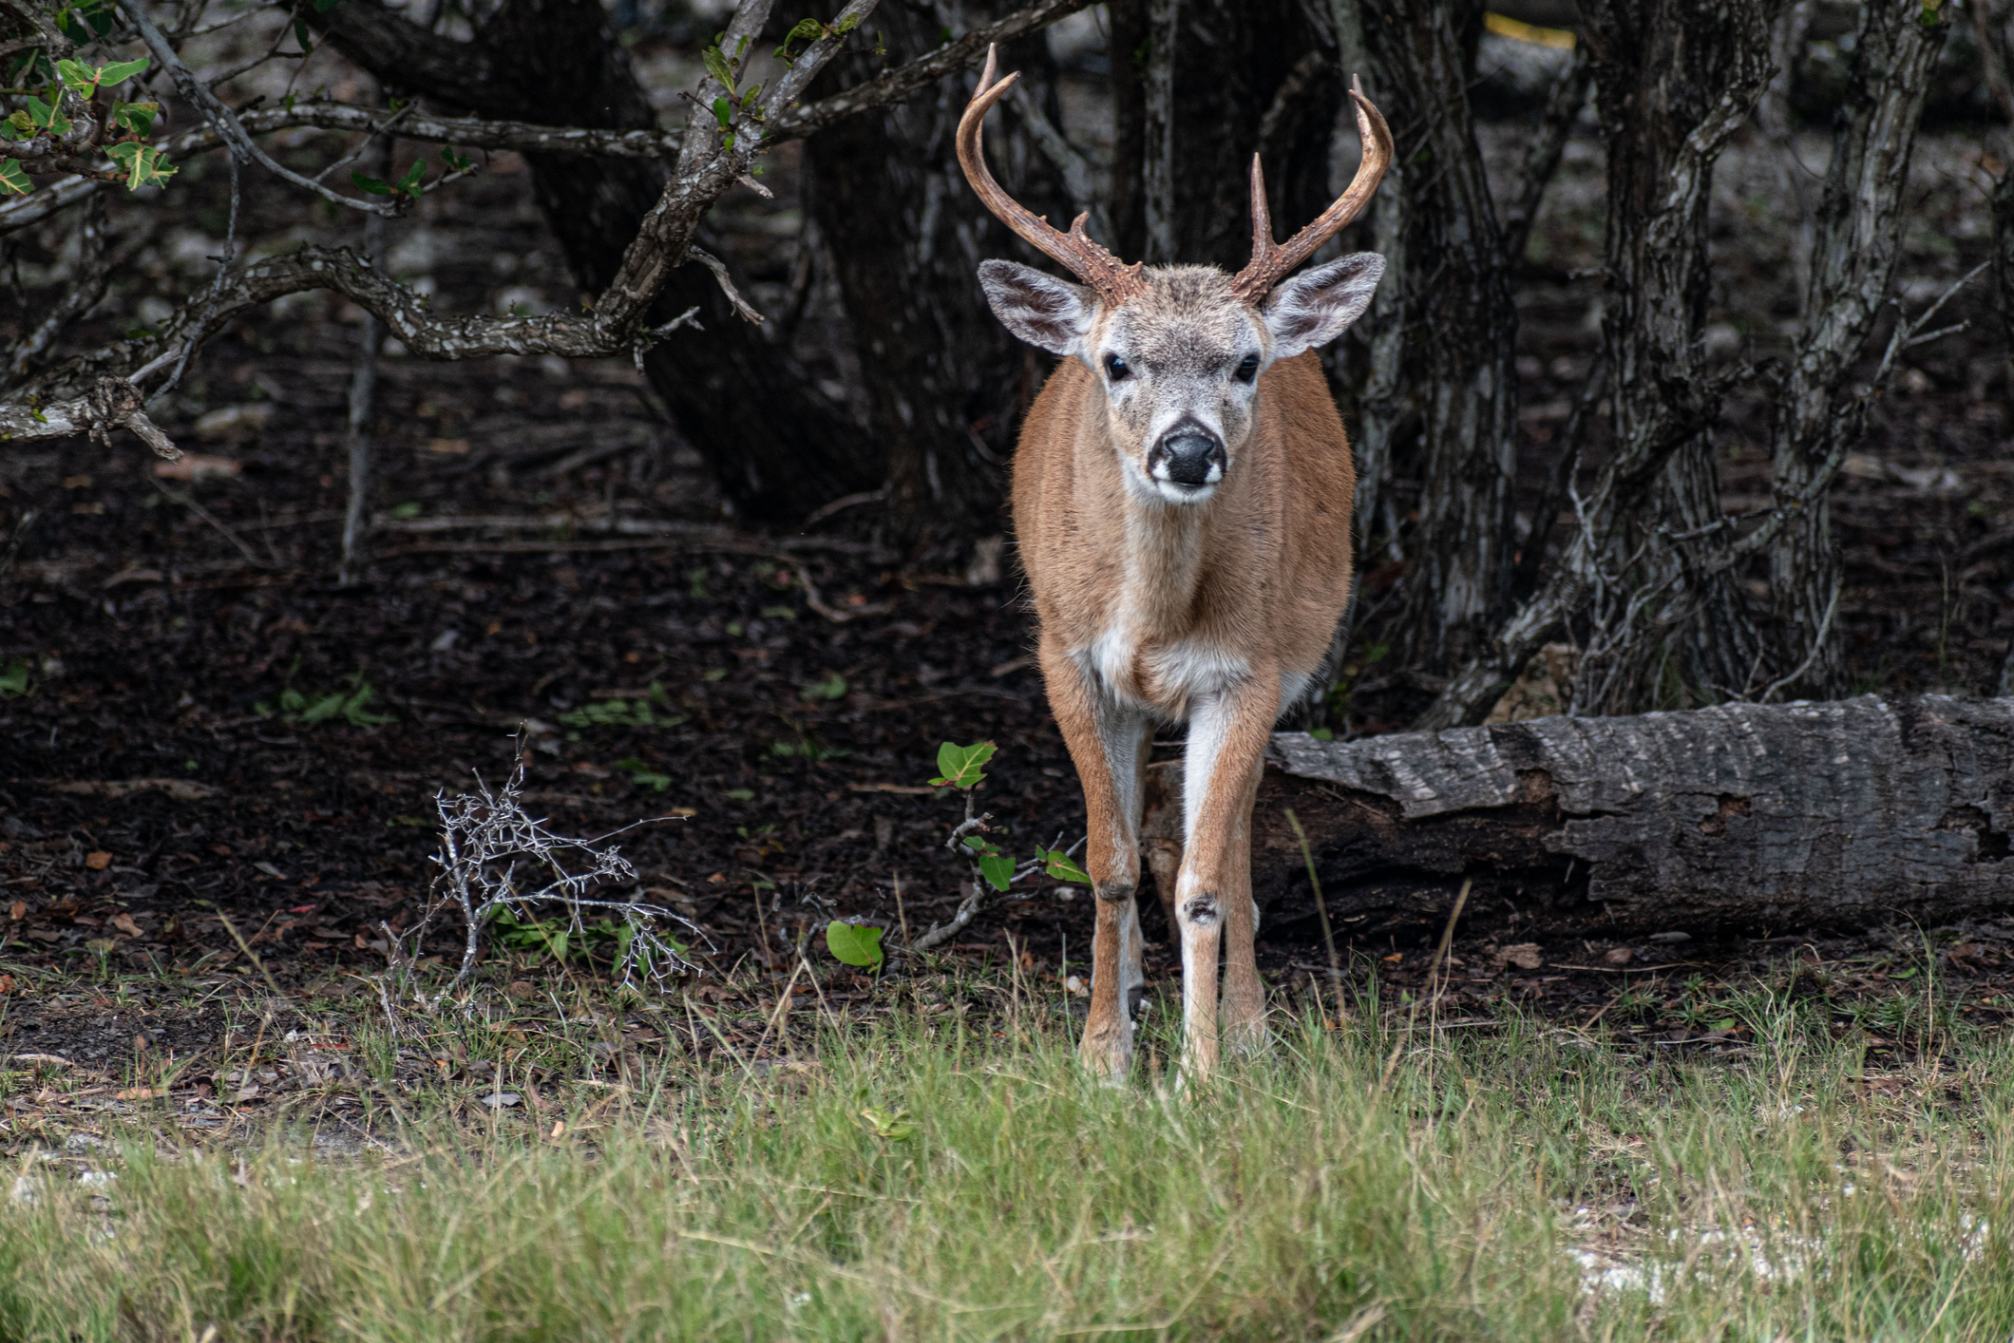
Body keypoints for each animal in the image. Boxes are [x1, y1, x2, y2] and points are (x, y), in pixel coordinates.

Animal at [957, 47, 1391, 1083]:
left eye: (1245, 364)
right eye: (1116, 361)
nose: (1189, 450)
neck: (1152, 615)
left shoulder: (1248, 671)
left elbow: (1201, 878)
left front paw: (1201, 1072)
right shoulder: (1065, 654)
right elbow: (1108, 863)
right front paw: (1103, 1057)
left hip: (1288, 660)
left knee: (1227, 851)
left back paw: (1248, 1027)